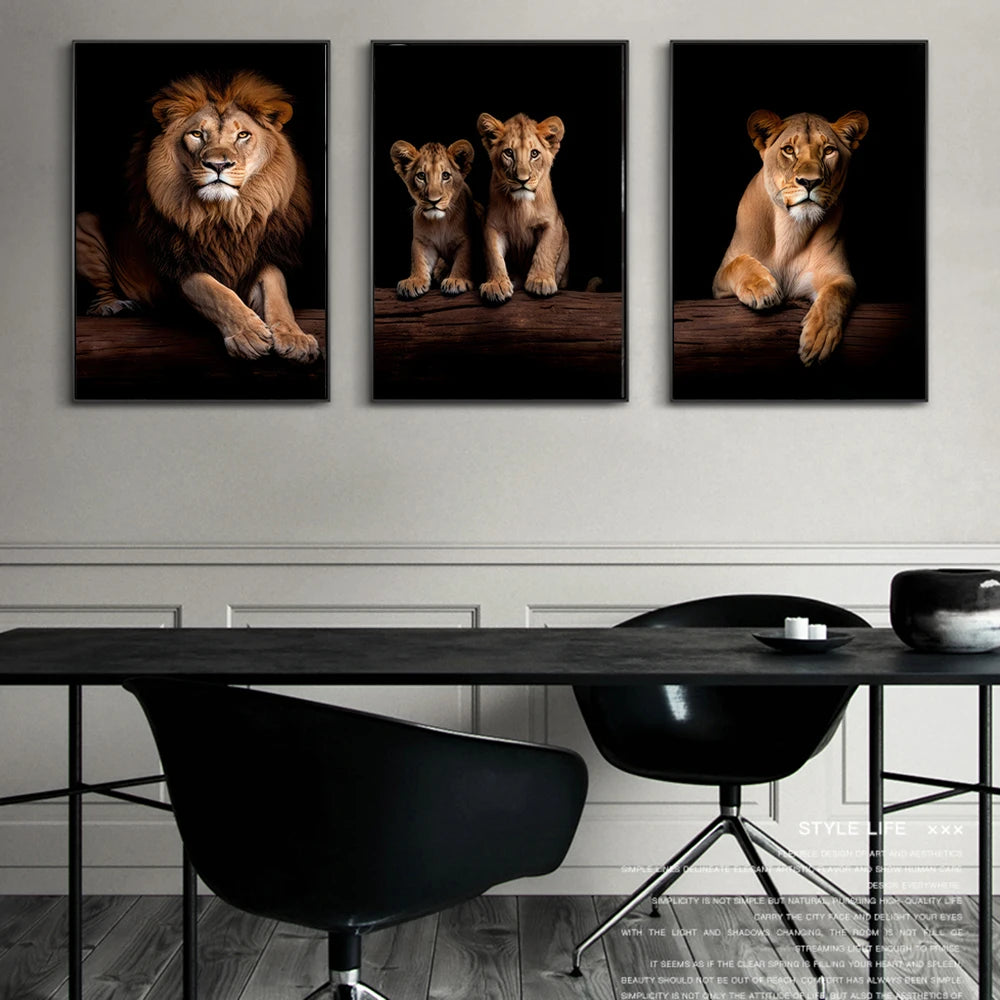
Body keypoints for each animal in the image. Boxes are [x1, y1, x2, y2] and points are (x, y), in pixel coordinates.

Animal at [75, 71, 319, 363]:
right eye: (196, 134)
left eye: (243, 135)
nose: (218, 164)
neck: (224, 216)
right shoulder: (179, 265)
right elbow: (215, 293)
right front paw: (248, 335)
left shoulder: (261, 256)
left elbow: (277, 292)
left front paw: (295, 338)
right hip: (83, 223)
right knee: (98, 296)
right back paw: (114, 306)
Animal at [389, 139, 481, 298]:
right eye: (421, 176)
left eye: (445, 176)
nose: (434, 200)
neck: (440, 222)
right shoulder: (423, 241)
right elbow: (419, 260)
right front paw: (414, 281)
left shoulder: (466, 239)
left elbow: (463, 260)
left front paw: (457, 280)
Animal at [476, 112, 569, 304]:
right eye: (509, 153)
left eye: (534, 154)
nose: (522, 179)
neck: (521, 206)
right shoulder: (492, 226)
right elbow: (493, 256)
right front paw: (496, 284)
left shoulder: (553, 222)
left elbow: (546, 250)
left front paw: (540, 281)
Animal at [712, 109, 869, 366]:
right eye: (788, 150)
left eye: (828, 150)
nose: (809, 181)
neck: (791, 229)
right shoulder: (718, 286)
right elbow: (738, 263)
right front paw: (762, 289)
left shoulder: (837, 275)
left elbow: (838, 292)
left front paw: (819, 336)